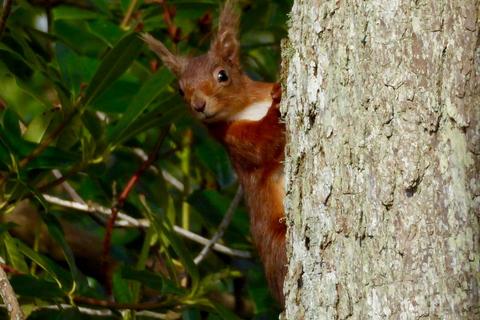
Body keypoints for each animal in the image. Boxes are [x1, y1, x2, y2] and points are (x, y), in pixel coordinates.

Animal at [142, 0, 284, 304]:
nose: (198, 105)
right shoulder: (233, 141)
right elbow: (262, 146)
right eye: (180, 90)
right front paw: (277, 107)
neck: (248, 105)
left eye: (223, 75)